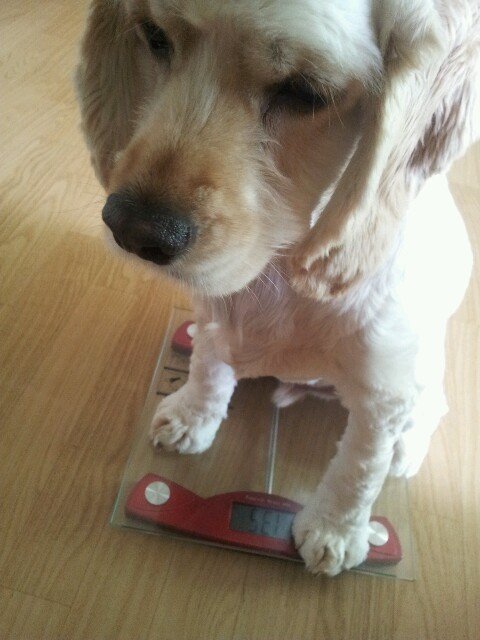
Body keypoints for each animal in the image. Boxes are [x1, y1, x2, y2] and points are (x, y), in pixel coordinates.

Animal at [76, 0, 479, 575]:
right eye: (154, 37)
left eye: (305, 92)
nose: (132, 229)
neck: (282, 268)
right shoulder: (216, 318)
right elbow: (209, 370)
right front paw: (192, 418)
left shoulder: (383, 391)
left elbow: (361, 464)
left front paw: (335, 530)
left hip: (424, 367)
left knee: (432, 408)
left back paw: (408, 448)